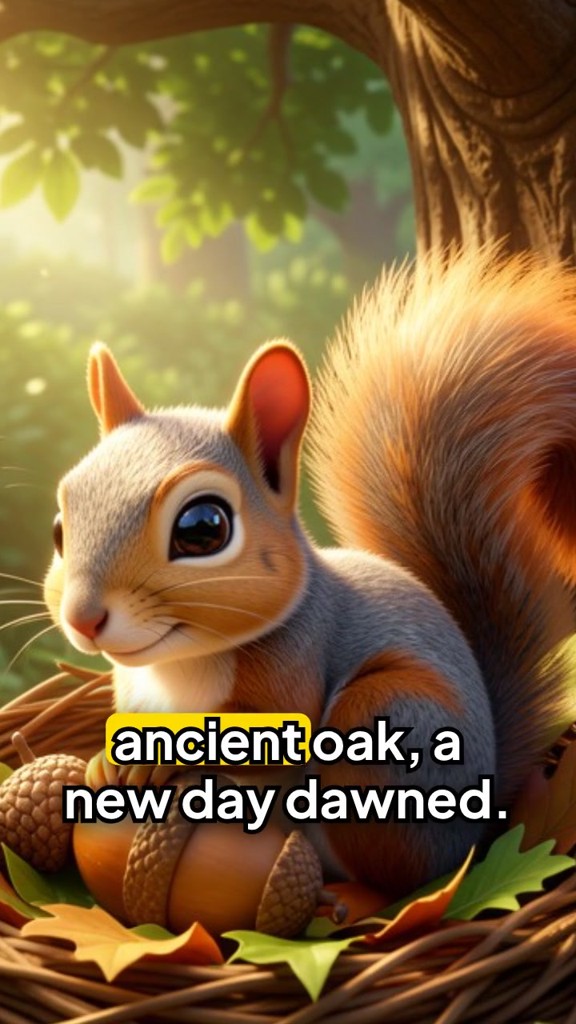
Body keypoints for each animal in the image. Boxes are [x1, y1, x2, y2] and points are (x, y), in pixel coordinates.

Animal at [44, 246, 575, 897]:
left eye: (203, 527)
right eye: (59, 528)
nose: (83, 618)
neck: (178, 667)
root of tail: (480, 819)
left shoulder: (290, 672)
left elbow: (259, 757)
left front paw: (166, 766)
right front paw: (107, 762)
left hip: (384, 733)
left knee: (395, 877)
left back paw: (346, 900)